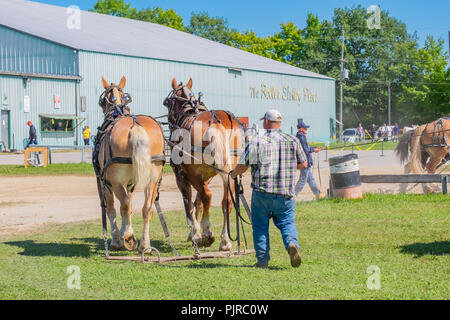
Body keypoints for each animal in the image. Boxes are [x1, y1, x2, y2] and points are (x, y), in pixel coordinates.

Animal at [93, 77, 165, 252]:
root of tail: (135, 125)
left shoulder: (106, 184)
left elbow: (112, 210)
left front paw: (117, 239)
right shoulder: (130, 184)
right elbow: (130, 207)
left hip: (116, 182)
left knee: (123, 205)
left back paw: (128, 238)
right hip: (153, 179)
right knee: (147, 208)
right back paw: (144, 245)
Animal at [163, 78, 244, 252]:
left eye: (167, 102)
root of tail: (216, 122)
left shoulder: (183, 177)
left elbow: (190, 203)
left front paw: (195, 233)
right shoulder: (205, 177)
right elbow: (198, 202)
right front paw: (196, 232)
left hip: (193, 173)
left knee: (208, 195)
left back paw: (207, 233)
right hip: (230, 170)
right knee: (226, 200)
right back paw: (225, 240)